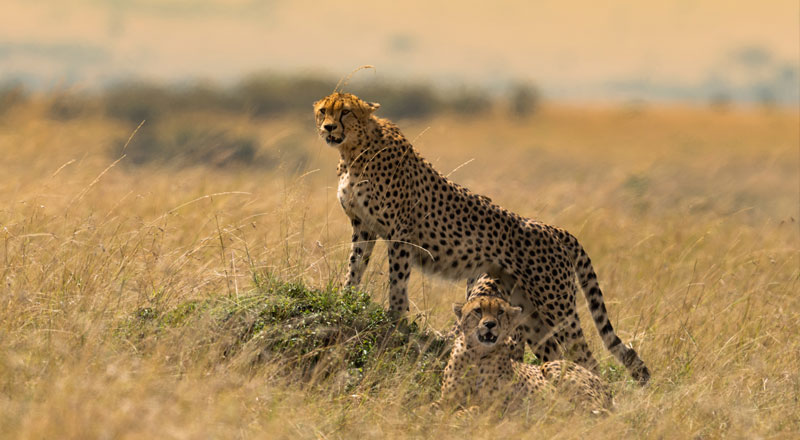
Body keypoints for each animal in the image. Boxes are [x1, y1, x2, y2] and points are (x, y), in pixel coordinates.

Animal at [312, 91, 648, 384]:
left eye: (345, 111)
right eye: (324, 110)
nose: (328, 127)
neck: (354, 150)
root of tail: (553, 228)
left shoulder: (401, 232)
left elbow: (397, 282)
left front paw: (394, 318)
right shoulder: (363, 227)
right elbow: (354, 268)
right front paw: (346, 298)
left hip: (556, 306)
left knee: (586, 356)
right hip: (531, 316)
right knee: (554, 353)